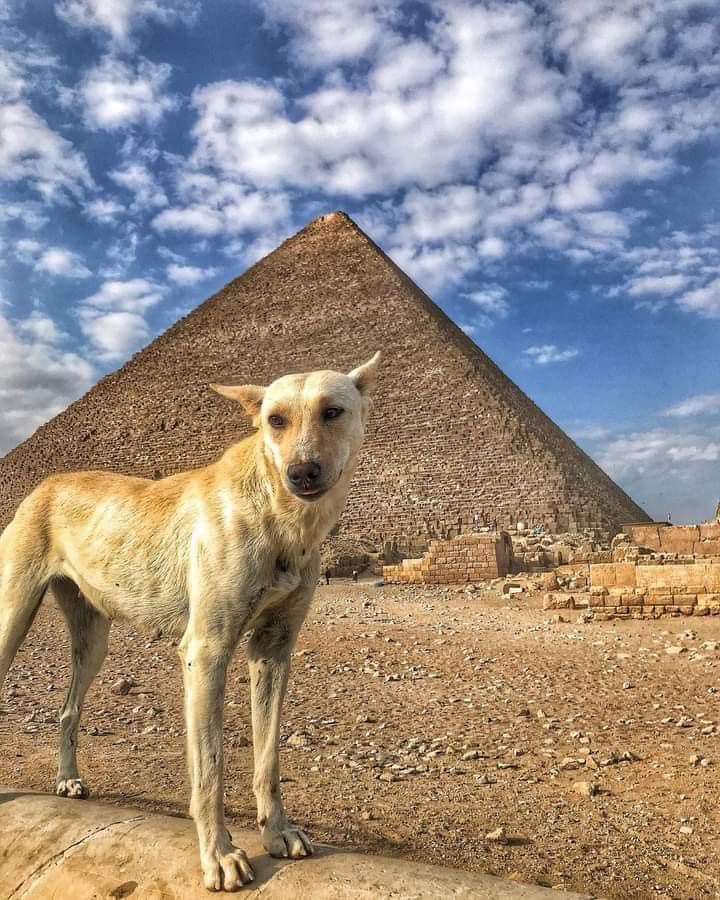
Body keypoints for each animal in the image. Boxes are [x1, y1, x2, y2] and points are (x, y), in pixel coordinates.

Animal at [0, 352, 380, 884]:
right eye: (275, 420)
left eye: (333, 411)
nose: (302, 473)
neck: (278, 515)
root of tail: (46, 484)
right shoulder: (206, 651)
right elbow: (210, 769)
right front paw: (219, 855)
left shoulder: (273, 651)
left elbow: (268, 757)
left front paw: (277, 832)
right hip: (12, 618)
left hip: (93, 640)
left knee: (68, 709)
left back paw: (68, 779)